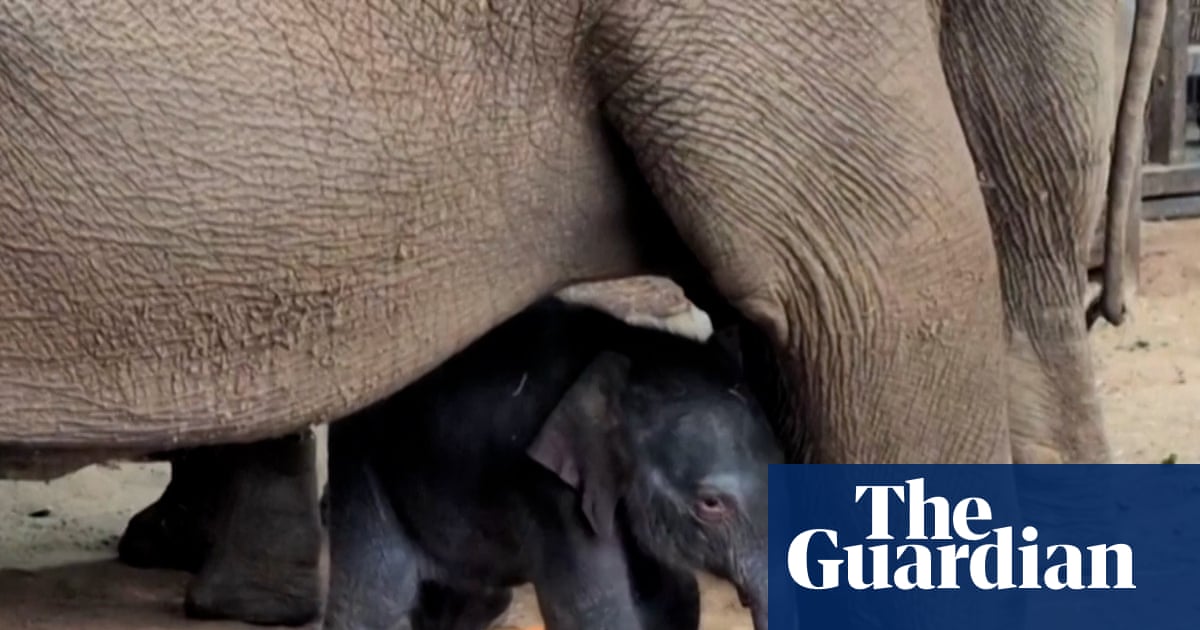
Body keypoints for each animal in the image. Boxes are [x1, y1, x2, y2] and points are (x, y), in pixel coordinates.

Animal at [322, 297, 779, 630]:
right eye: (711, 504)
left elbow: (676, 597)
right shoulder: (552, 497)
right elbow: (597, 612)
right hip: (362, 466)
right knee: (374, 599)